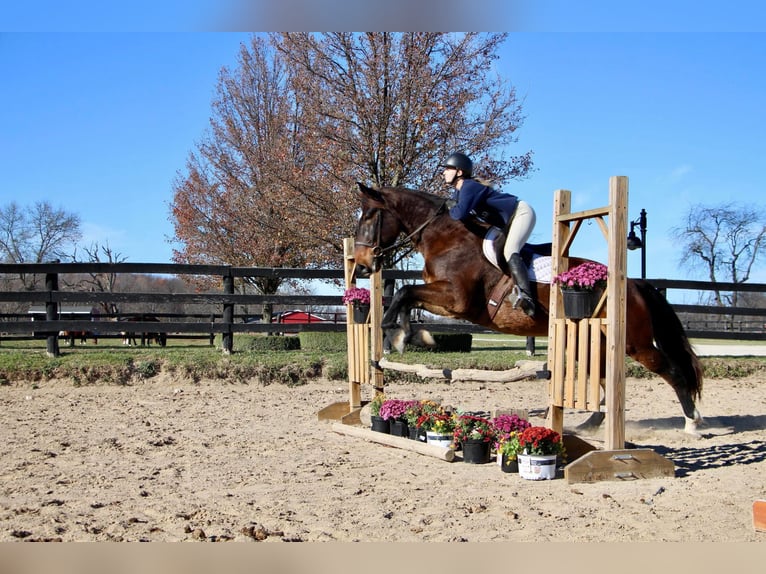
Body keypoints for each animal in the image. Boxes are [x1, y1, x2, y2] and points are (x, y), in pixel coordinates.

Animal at [354, 183, 708, 436]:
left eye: (370, 218)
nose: (361, 267)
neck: (445, 237)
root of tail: (632, 282)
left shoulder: (457, 300)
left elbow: (404, 291)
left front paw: (400, 335)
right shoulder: (449, 304)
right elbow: (407, 297)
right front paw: (410, 336)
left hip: (634, 342)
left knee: (672, 371)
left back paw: (692, 422)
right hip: (592, 340)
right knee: (604, 380)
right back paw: (588, 426)